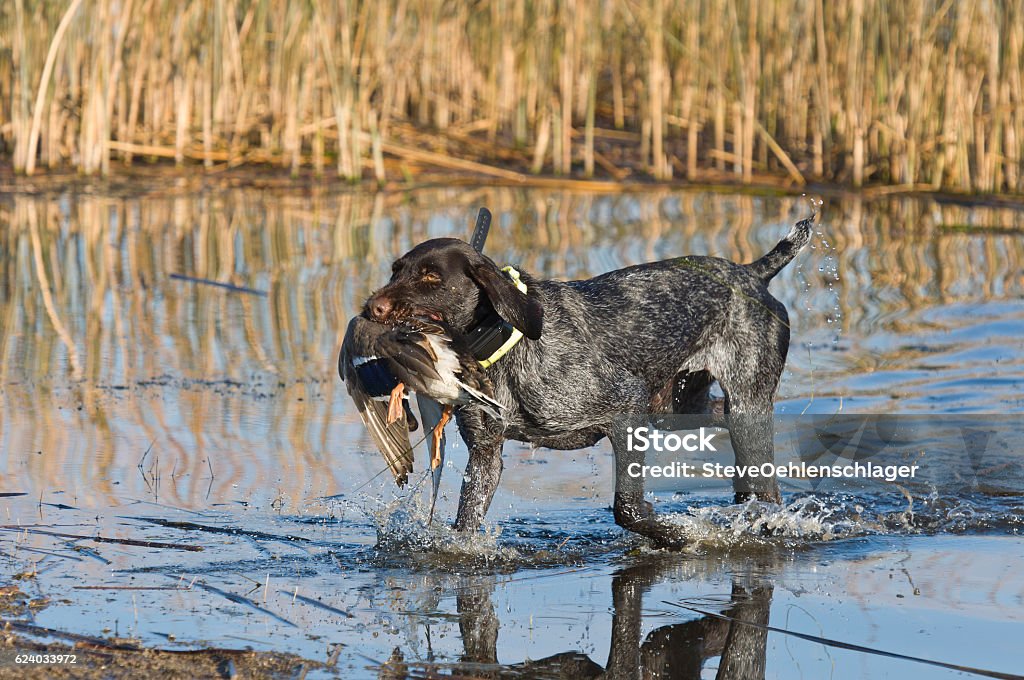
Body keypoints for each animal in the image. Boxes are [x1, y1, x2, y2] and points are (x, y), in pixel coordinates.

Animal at [356, 218, 811, 548]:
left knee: (765, 483)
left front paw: (680, 536)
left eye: (431, 277)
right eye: (396, 270)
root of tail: (752, 273)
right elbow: (467, 521)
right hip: (677, 410)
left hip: (740, 405)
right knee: (728, 429)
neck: (503, 345)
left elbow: (628, 508)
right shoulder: (486, 454)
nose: (369, 308)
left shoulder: (627, 410)